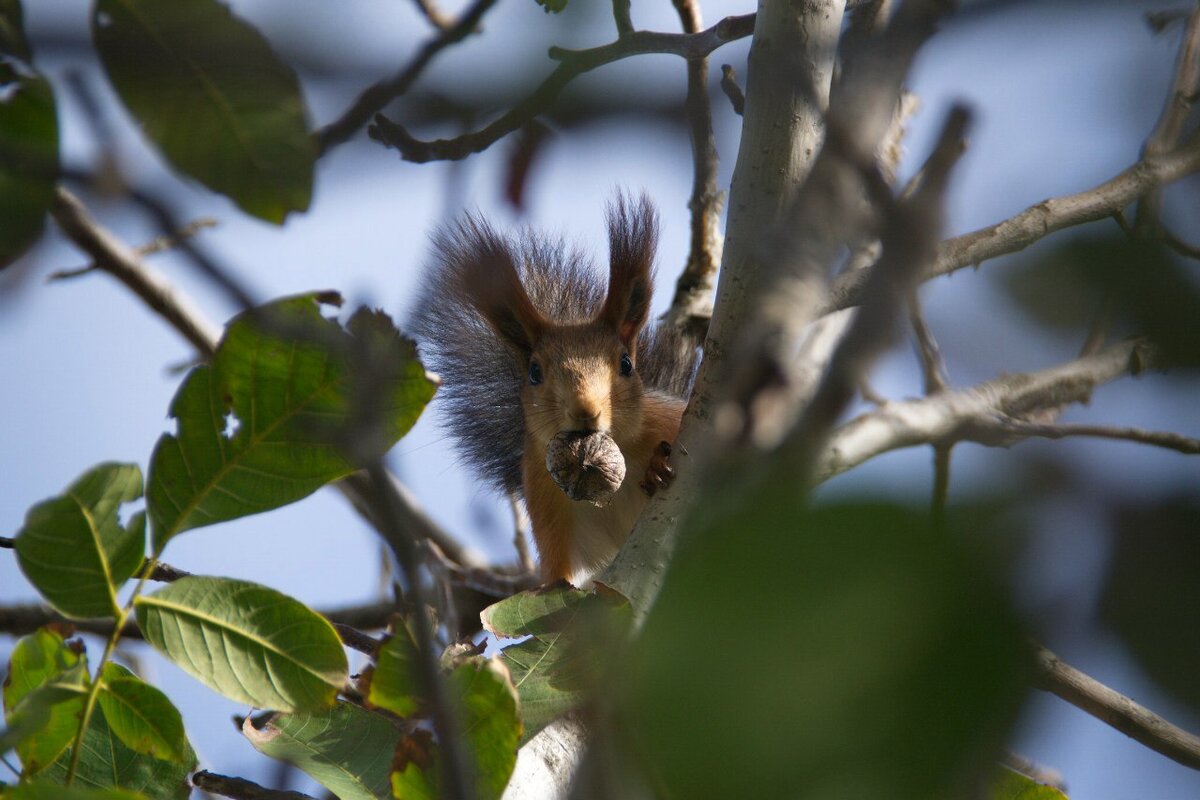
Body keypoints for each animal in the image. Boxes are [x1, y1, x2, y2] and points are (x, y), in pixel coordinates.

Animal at [410, 194, 700, 582]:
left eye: (626, 364)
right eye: (534, 372)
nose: (585, 410)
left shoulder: (669, 420)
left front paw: (656, 466)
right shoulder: (545, 495)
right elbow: (561, 574)